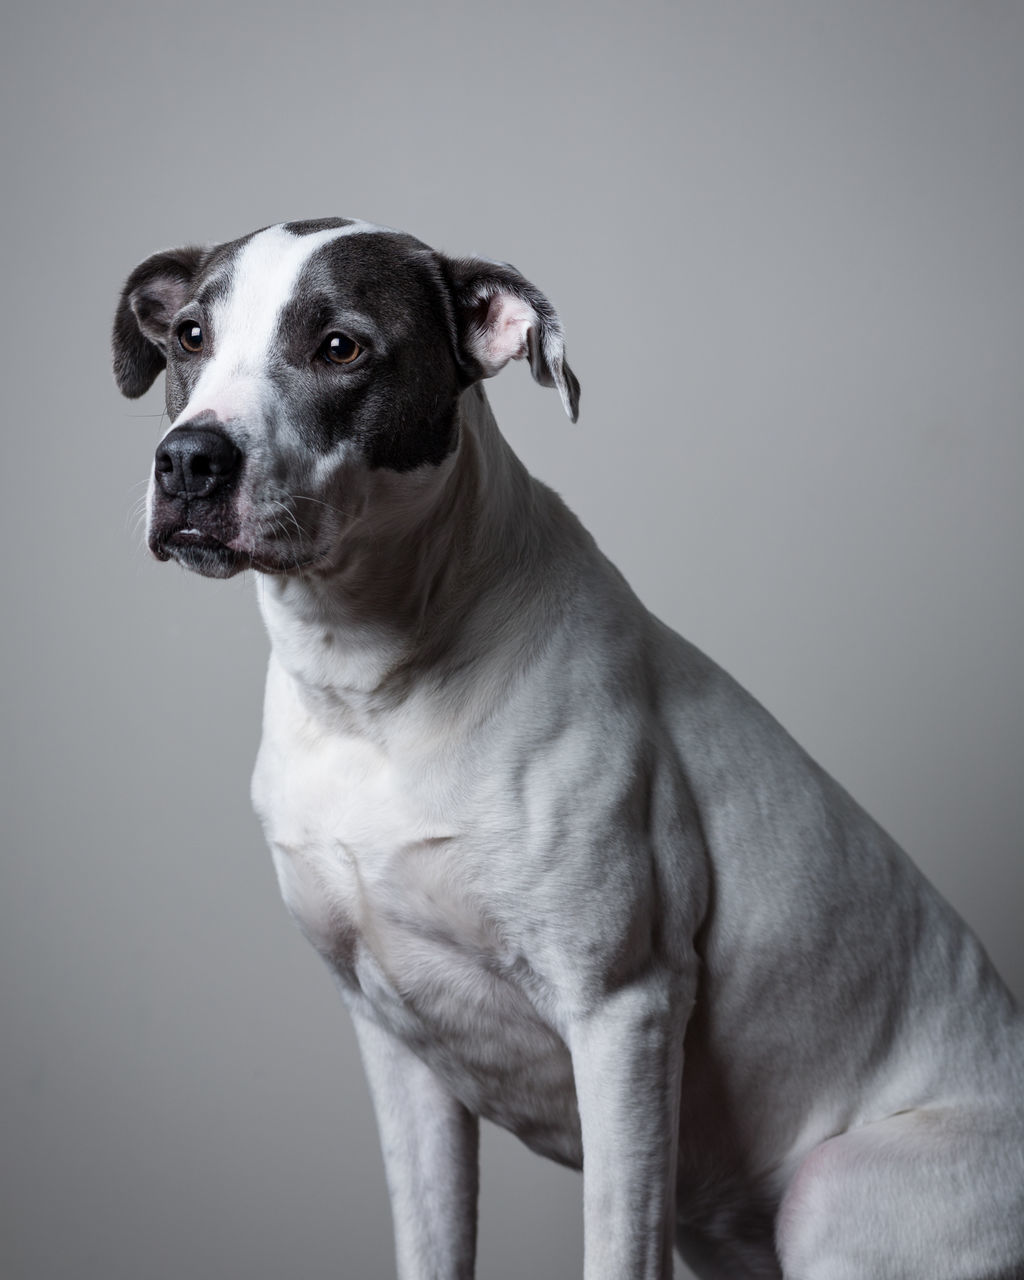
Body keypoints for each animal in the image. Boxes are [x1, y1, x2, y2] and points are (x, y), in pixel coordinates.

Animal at [113, 220, 1024, 1280]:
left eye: (340, 347)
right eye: (190, 335)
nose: (189, 462)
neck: (370, 685)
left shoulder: (622, 1015)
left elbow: (614, 1245)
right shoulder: (398, 1049)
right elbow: (433, 1240)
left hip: (838, 1192)